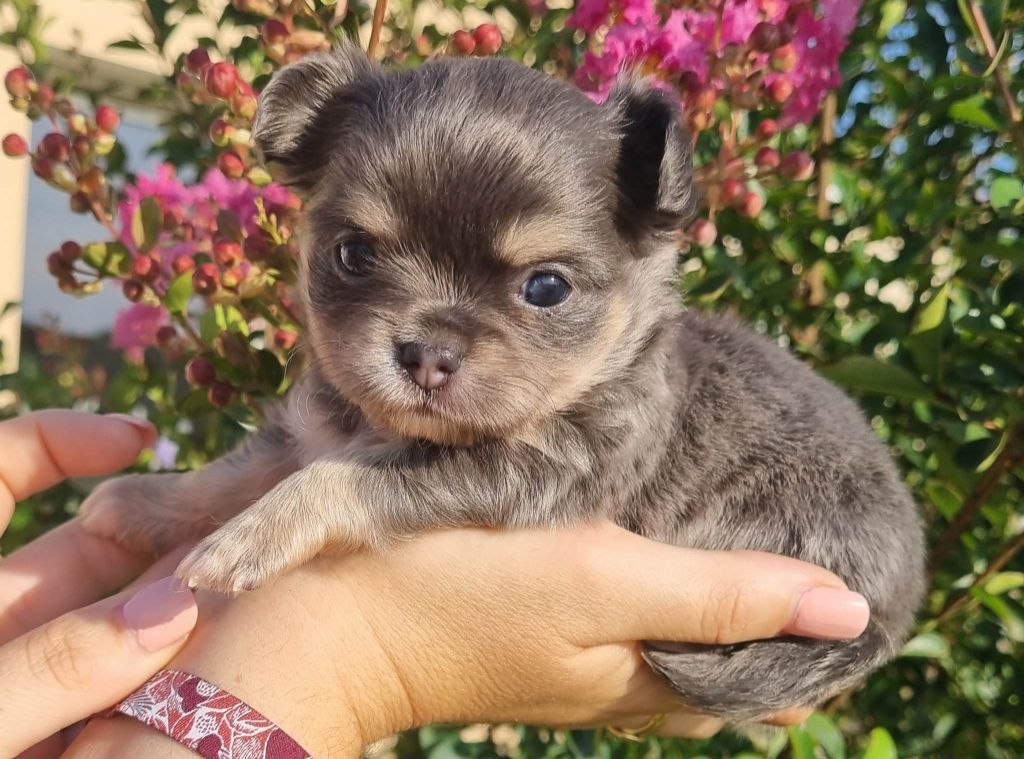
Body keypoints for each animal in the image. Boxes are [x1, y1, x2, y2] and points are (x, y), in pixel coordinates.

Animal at [81, 44, 929, 721]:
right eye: (354, 254)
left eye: (546, 288)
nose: (425, 352)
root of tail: (902, 597)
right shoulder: (310, 429)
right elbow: (233, 471)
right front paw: (142, 499)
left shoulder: (527, 469)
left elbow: (336, 479)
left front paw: (248, 535)